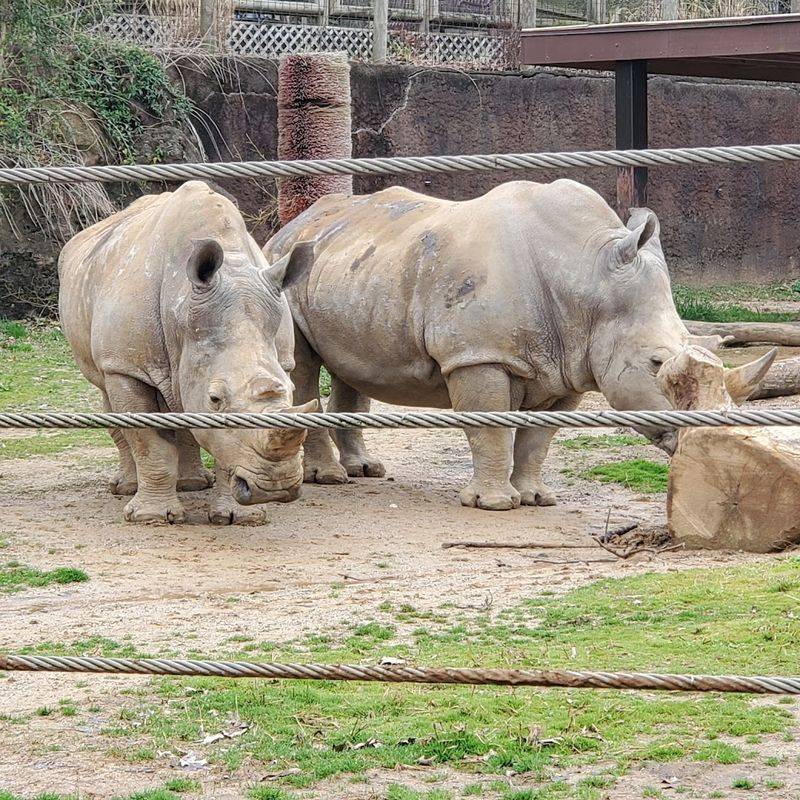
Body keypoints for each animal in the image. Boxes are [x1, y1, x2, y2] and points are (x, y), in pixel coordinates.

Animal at [59, 181, 315, 524]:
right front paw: (151, 517)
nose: (275, 488)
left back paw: (192, 484)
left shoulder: (279, 356)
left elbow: (220, 441)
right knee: (108, 394)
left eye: (288, 389)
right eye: (215, 398)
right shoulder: (126, 366)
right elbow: (148, 442)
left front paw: (239, 517)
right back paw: (126, 488)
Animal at [263, 179, 773, 511]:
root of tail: (291, 225)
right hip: (286, 268)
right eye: (656, 362)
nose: (711, 437)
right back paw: (328, 478)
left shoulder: (570, 362)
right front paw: (493, 504)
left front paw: (536, 498)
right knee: (303, 368)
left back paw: (365, 470)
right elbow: (490, 427)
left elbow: (539, 437)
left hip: (357, 269)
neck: (586, 278)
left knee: (351, 365)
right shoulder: (479, 355)